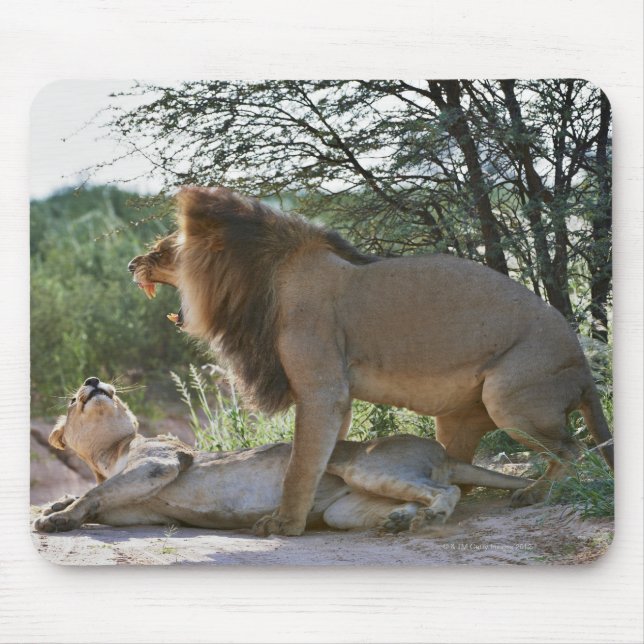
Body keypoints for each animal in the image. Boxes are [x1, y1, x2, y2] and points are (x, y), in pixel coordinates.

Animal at [33, 378, 533, 534]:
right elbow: (97, 495)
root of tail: (443, 451)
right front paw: (56, 505)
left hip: (363, 464)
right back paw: (397, 521)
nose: (93, 381)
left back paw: (430, 519)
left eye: (106, 391)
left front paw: (56, 518)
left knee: (446, 490)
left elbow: (94, 494)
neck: (109, 453)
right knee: (414, 497)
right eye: (75, 399)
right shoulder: (131, 508)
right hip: (344, 511)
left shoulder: (163, 461)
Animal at [128, 187, 613, 537]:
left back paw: (534, 494)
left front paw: (284, 524)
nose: (132, 264)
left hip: (509, 396)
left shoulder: (322, 389)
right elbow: (317, 456)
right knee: (463, 470)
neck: (261, 280)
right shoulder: (334, 398)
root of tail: (582, 363)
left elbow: (299, 465)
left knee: (574, 450)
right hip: (458, 417)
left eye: (161, 249)